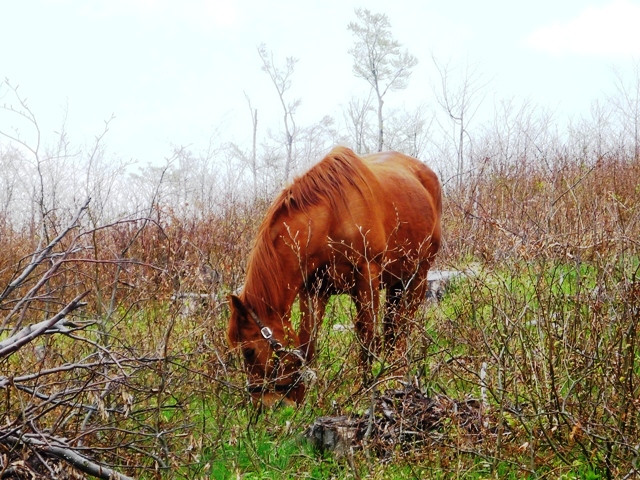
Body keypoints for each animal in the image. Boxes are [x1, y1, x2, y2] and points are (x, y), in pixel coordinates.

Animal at [228, 145, 442, 404]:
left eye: (248, 351)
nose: (264, 404)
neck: (331, 218)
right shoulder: (313, 291)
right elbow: (307, 344)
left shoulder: (367, 278)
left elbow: (367, 339)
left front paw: (366, 390)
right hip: (396, 283)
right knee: (392, 329)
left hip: (418, 276)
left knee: (402, 329)